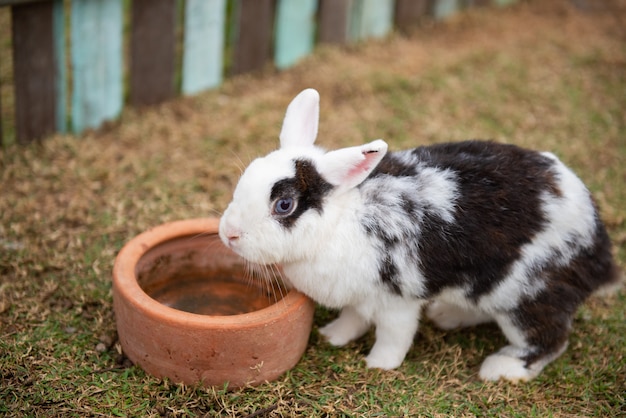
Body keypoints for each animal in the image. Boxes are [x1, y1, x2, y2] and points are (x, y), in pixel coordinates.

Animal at [217, 88, 616, 382]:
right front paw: (333, 336)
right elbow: (353, 319)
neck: (340, 221)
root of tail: (599, 248)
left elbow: (394, 336)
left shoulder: (397, 300)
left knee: (549, 340)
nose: (229, 234)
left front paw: (378, 365)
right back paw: (447, 316)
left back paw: (501, 368)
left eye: (284, 205)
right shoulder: (358, 296)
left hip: (527, 296)